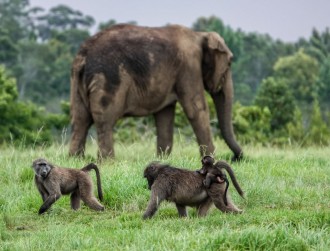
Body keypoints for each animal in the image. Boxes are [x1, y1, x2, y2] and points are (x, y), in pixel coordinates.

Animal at [69, 24, 242, 160]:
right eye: (229, 63)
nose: (236, 158)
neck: (200, 35)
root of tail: (83, 55)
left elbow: (165, 114)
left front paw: (162, 159)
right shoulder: (189, 67)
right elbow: (196, 109)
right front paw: (211, 160)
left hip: (77, 81)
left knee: (80, 119)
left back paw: (75, 159)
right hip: (107, 79)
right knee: (105, 119)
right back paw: (107, 162)